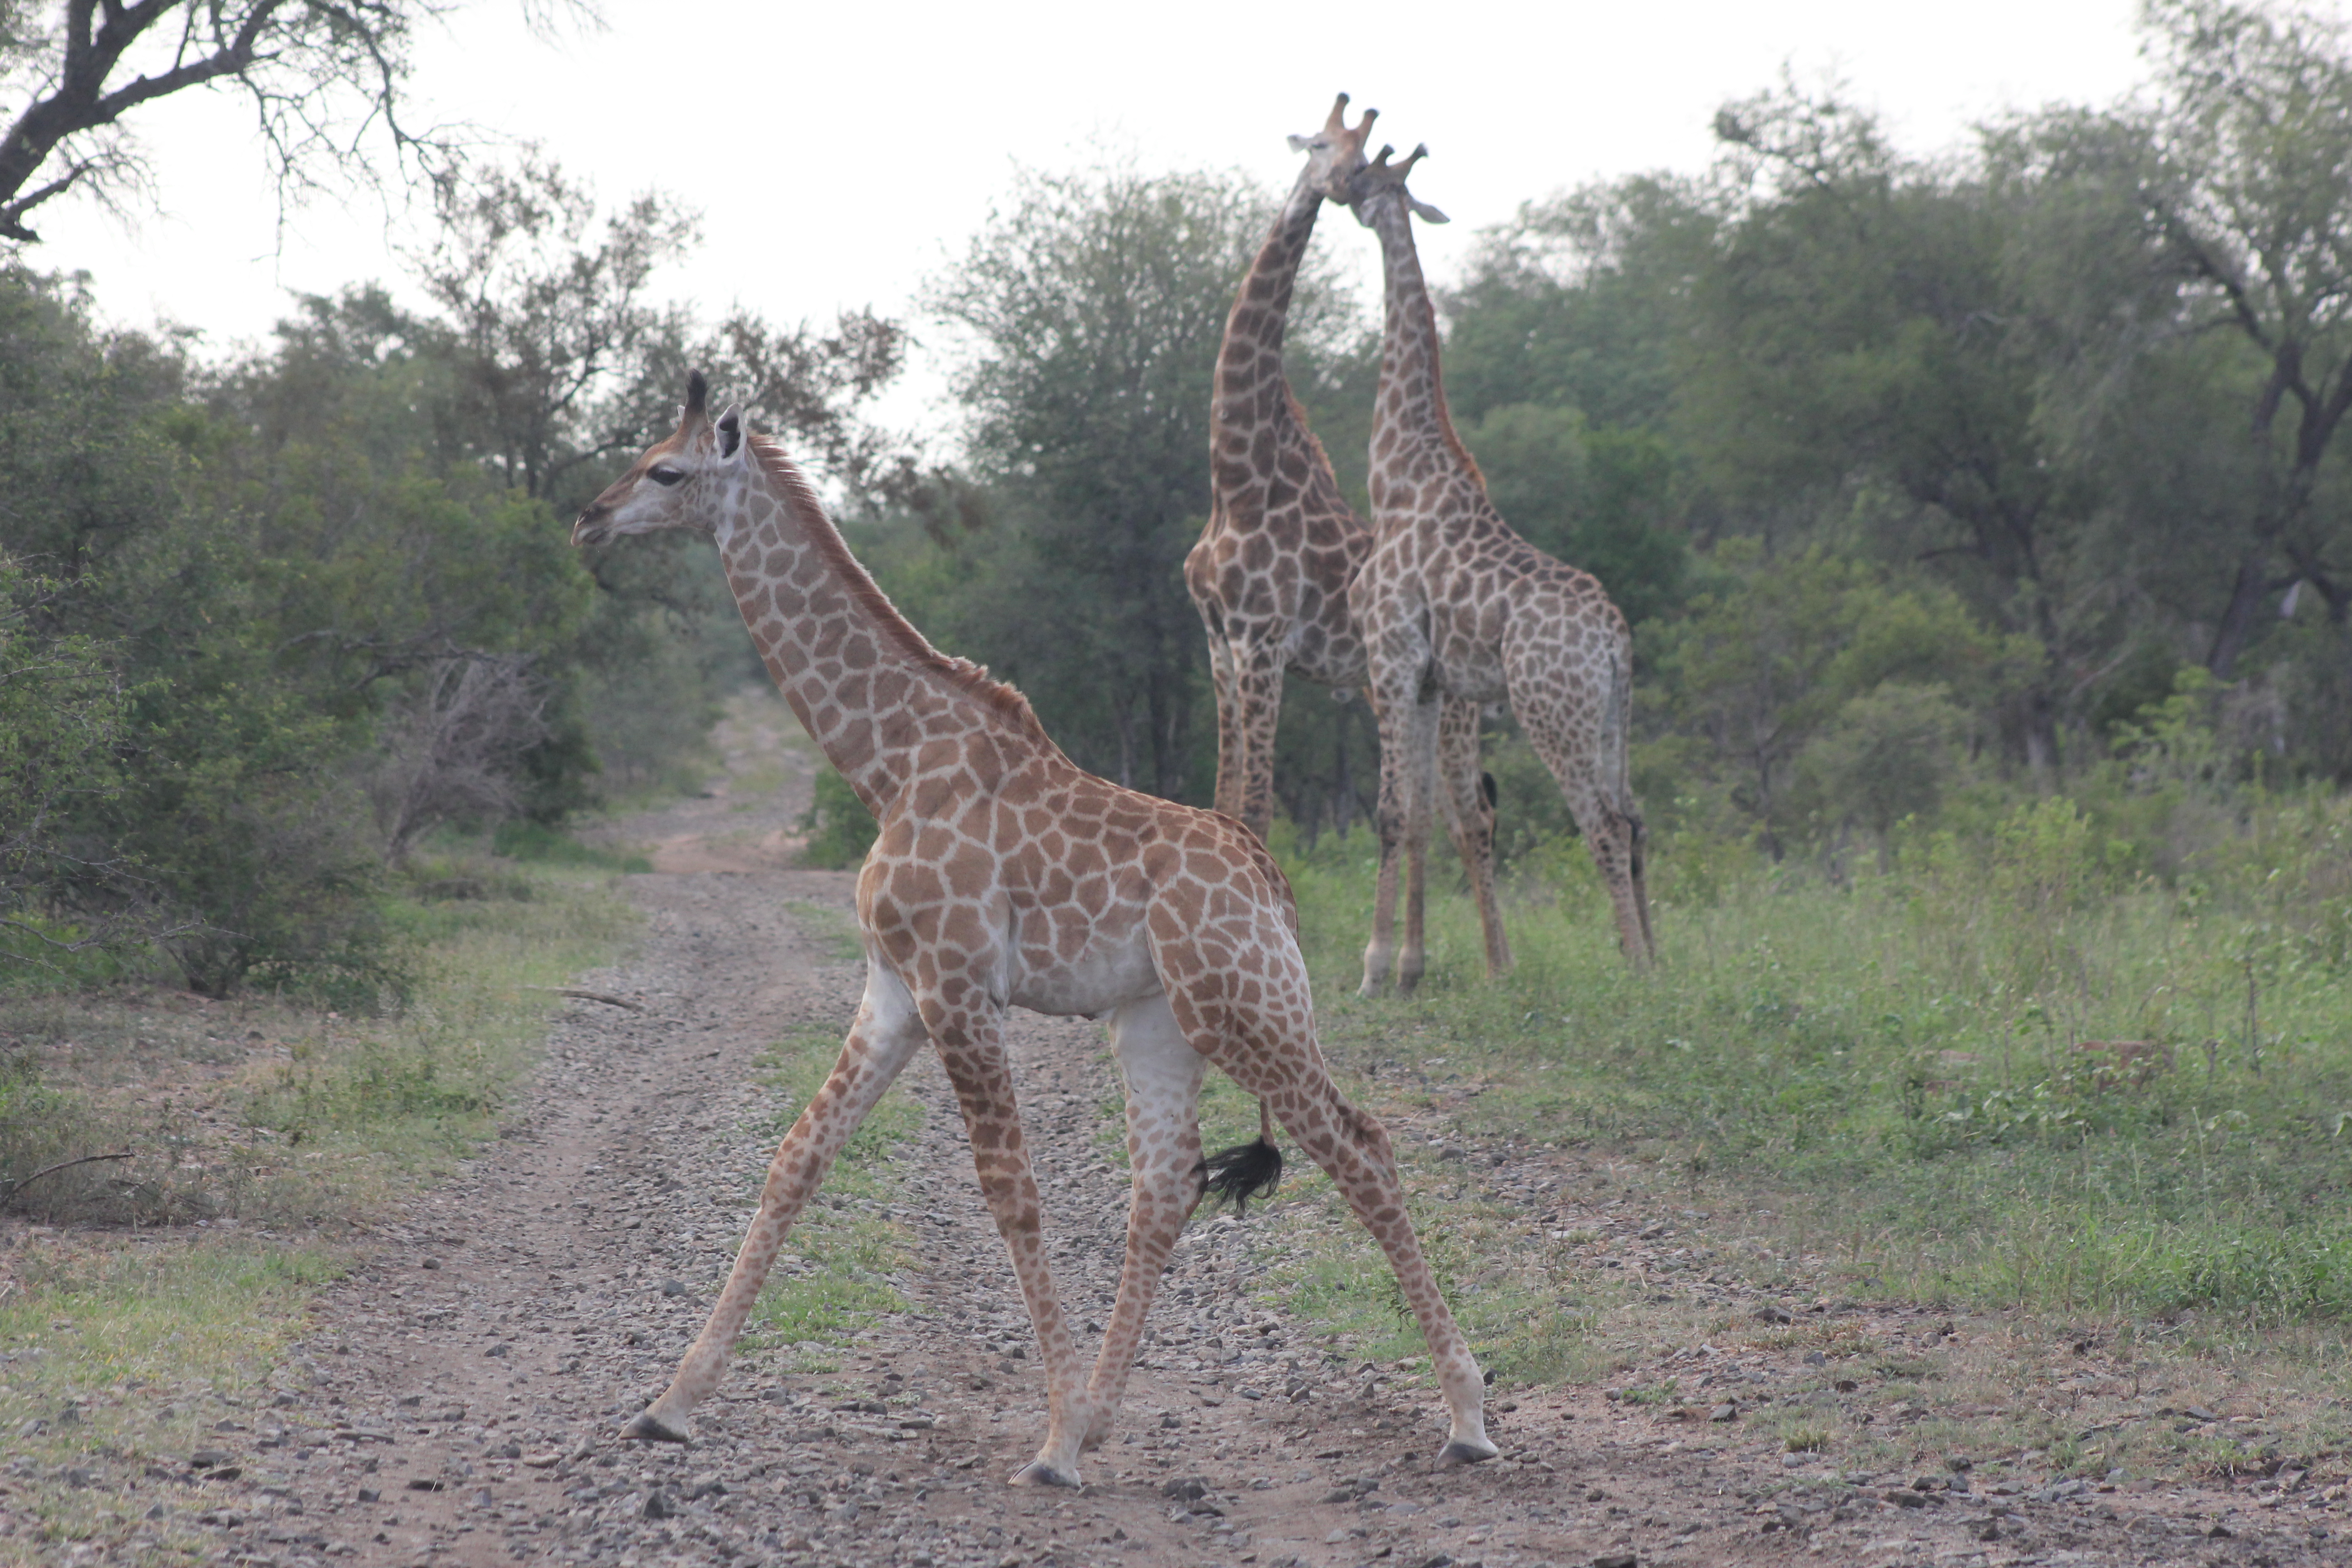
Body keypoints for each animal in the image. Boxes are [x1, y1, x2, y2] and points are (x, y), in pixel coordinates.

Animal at [572, 374, 1498, 1485]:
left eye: (665, 471)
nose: (588, 518)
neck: (890, 762)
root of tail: (1270, 881)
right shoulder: (893, 989)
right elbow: (795, 1159)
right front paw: (669, 1404)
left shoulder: (959, 985)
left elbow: (1010, 1192)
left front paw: (1048, 1437)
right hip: (1159, 1022)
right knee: (1166, 1186)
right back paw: (1100, 1416)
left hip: (1243, 1007)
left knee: (1361, 1146)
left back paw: (1467, 1418)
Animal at [1186, 94, 1512, 978]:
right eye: (1321, 146)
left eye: (1359, 154)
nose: (1335, 187)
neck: (1237, 478)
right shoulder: (1218, 640)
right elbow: (1222, 795)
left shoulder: (1262, 640)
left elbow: (1256, 805)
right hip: (1393, 691)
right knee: (1432, 809)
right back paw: (1422, 960)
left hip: (1452, 704)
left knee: (1469, 812)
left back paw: (1488, 964)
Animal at [1338, 142, 1655, 996]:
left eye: (1366, 176)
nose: (1339, 188)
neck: (1396, 471)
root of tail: (1615, 639)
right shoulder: (1428, 678)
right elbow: (1420, 813)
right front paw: (1408, 970)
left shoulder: (1389, 655)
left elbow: (1389, 810)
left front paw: (1373, 971)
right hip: (1609, 717)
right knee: (1635, 819)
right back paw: (1660, 962)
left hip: (1553, 712)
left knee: (1603, 826)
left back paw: (1633, 974)